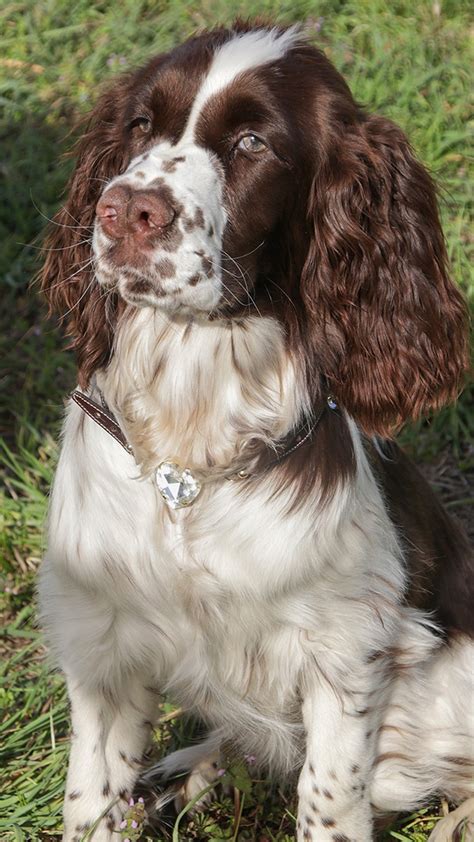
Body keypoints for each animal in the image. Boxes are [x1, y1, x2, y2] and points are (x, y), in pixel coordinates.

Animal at [39, 19, 472, 840]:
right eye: (139, 124)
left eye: (252, 144)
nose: (123, 210)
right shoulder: (103, 638)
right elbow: (91, 797)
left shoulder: (347, 651)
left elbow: (328, 798)